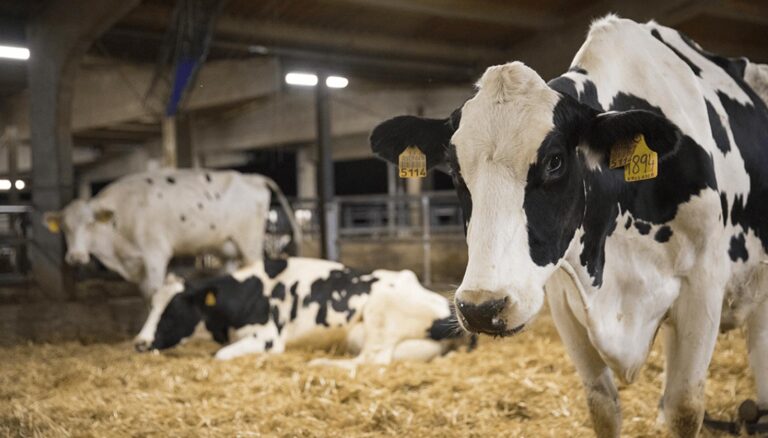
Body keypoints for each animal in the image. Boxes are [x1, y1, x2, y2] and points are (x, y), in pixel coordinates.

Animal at [41, 169, 300, 300]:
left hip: (250, 243)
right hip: (227, 248)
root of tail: (252, 177)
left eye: (91, 223)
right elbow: (146, 294)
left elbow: (155, 291)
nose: (76, 257)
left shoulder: (156, 254)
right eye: (64, 227)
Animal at [136, 255, 474, 364]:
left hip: (380, 306)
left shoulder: (267, 338)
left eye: (172, 311)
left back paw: (320, 364)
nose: (139, 343)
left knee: (371, 361)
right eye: (151, 306)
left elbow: (220, 355)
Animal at [368, 13, 768, 438]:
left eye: (555, 161)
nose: (480, 307)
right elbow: (602, 405)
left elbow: (684, 407)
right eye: (455, 170)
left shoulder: (702, 285)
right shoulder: (564, 299)